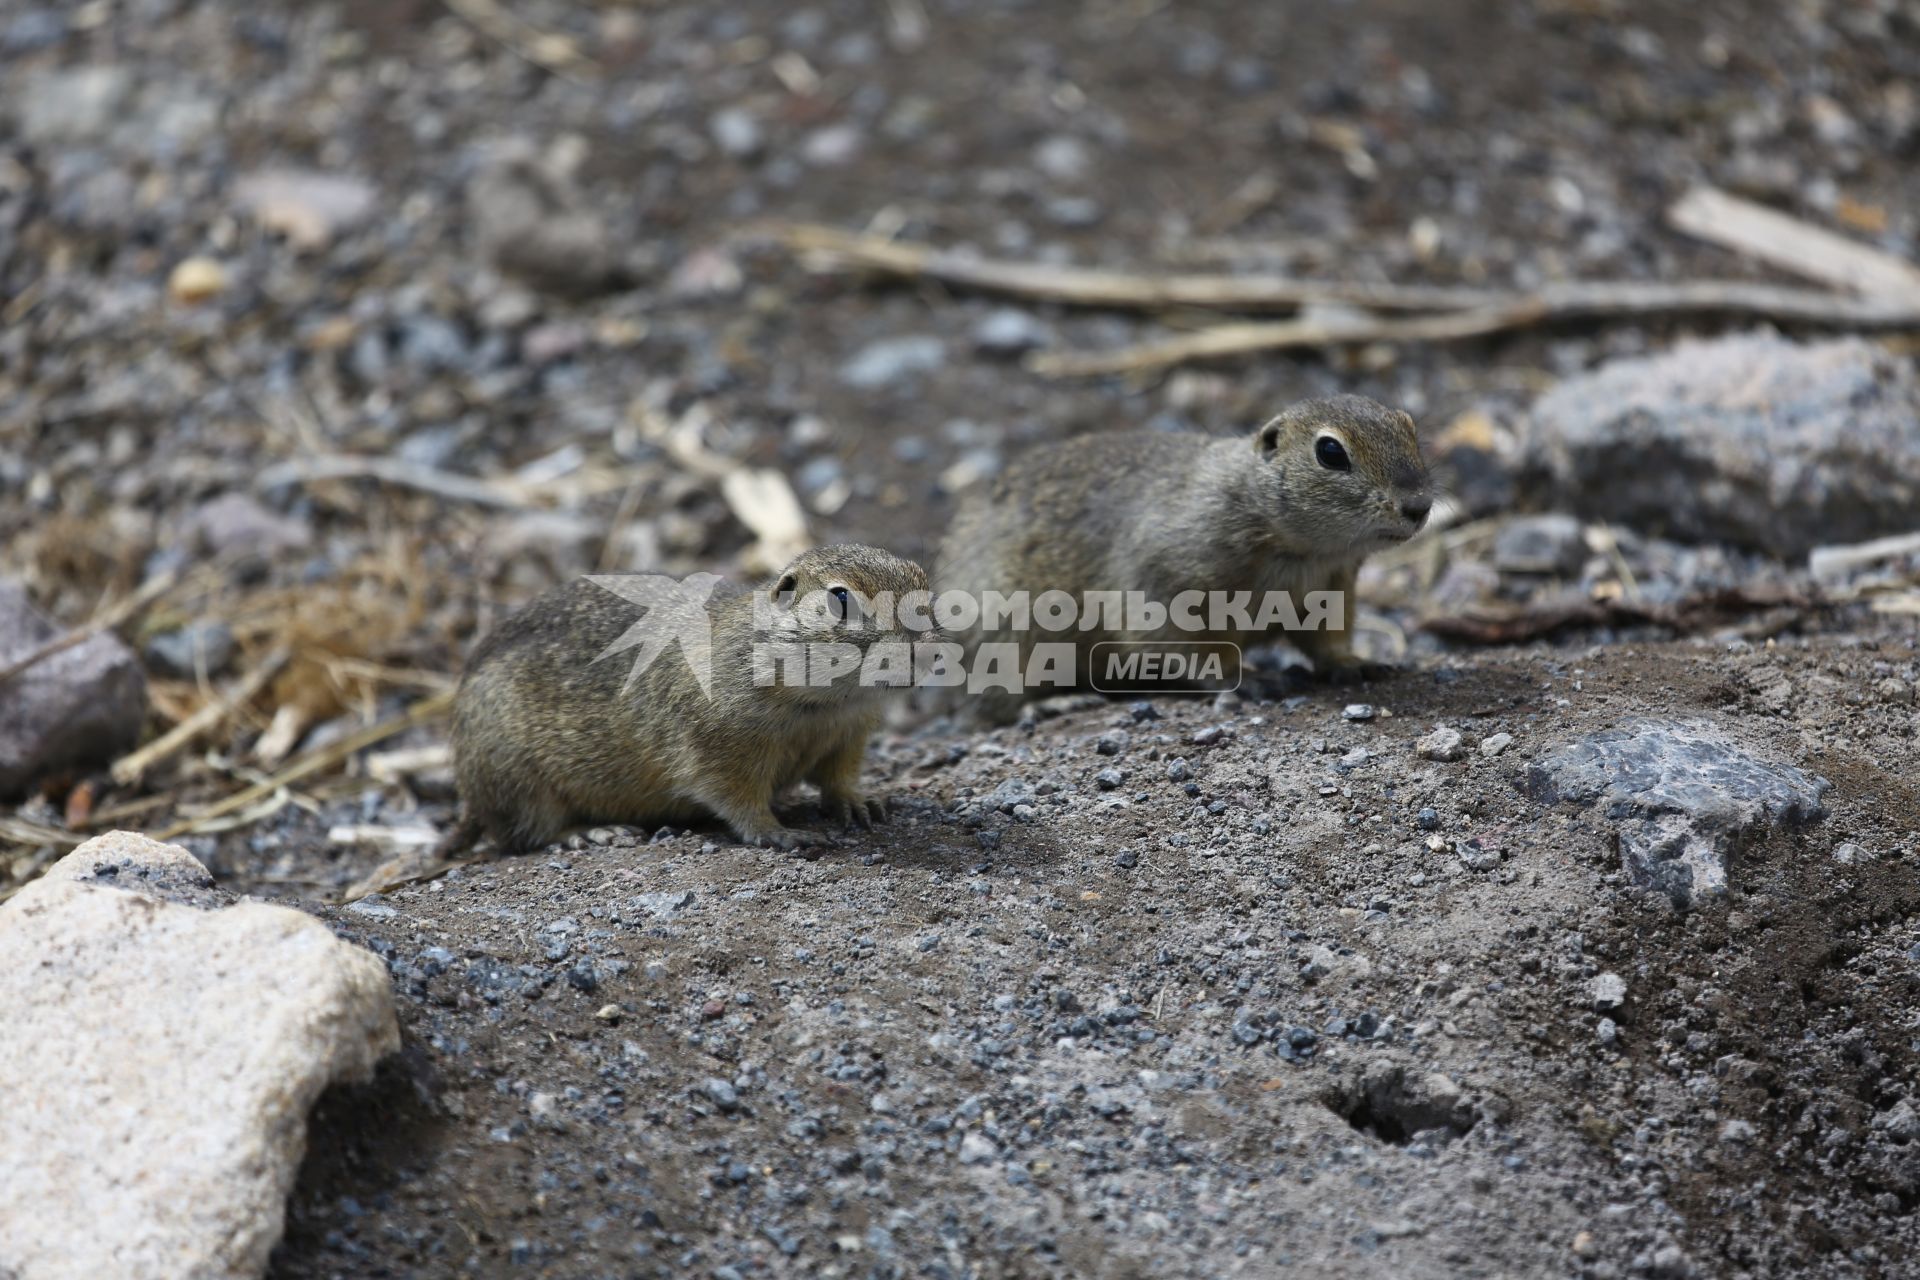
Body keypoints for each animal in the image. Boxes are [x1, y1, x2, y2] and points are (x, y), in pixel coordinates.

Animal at [449, 545, 929, 855]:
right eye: (841, 598)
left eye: (923, 582)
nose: (922, 653)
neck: (828, 702)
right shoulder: (718, 749)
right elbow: (739, 800)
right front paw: (782, 833)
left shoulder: (849, 735)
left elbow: (838, 778)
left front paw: (860, 802)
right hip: (517, 777)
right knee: (526, 832)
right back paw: (593, 833)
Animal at [936, 395, 1436, 725]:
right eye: (1330, 452)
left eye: (1411, 428)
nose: (1419, 505)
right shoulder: (1169, 592)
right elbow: (1193, 651)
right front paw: (1247, 678)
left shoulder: (1331, 590)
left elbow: (1327, 642)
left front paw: (1355, 662)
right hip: (1007, 640)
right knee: (994, 706)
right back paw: (1053, 703)